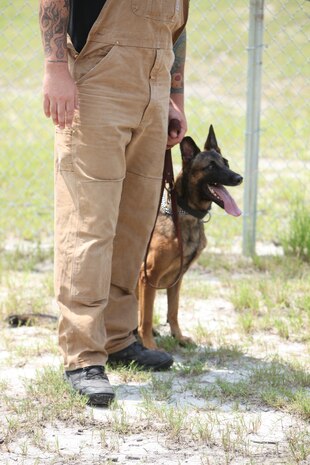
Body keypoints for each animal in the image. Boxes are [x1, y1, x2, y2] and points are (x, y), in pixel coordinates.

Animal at [137, 125, 242, 350]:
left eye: (226, 163)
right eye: (210, 166)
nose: (239, 178)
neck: (183, 214)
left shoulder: (177, 278)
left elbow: (173, 310)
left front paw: (178, 336)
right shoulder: (148, 277)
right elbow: (146, 316)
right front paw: (149, 345)